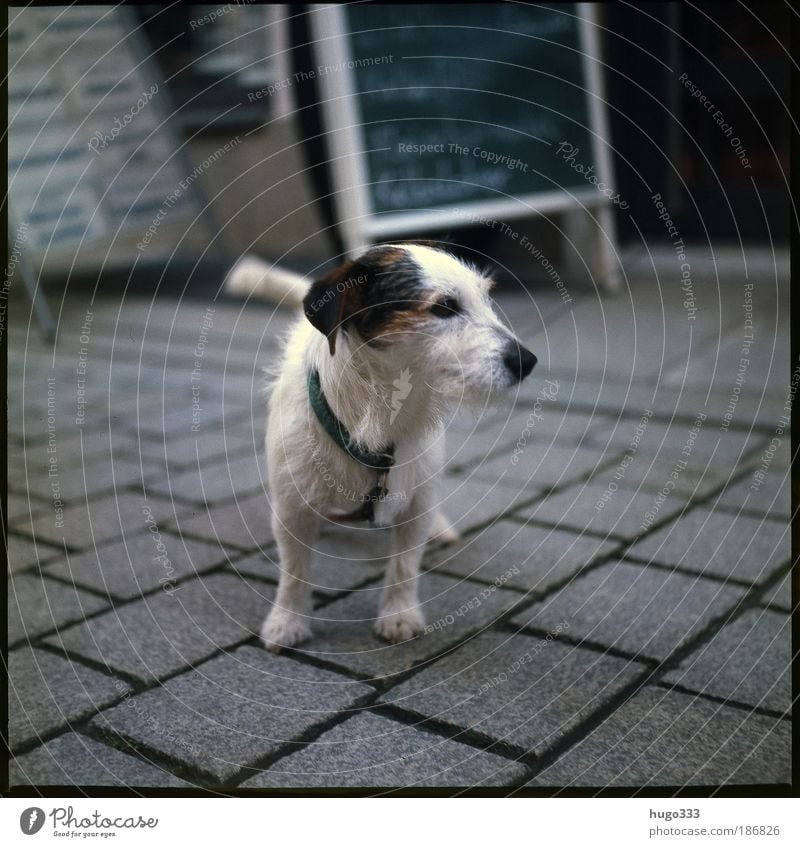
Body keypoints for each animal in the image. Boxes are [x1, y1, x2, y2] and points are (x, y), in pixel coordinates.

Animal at [228, 242, 536, 652]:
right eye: (444, 307)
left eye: (487, 298)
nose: (528, 362)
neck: (376, 414)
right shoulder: (292, 508)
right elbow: (294, 571)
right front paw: (287, 621)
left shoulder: (415, 503)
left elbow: (405, 564)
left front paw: (399, 616)